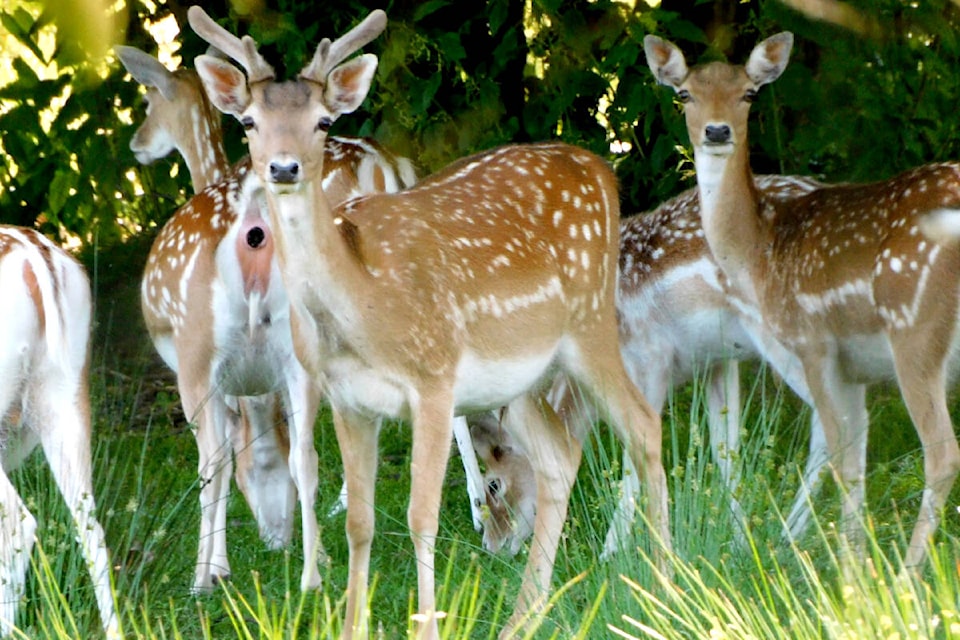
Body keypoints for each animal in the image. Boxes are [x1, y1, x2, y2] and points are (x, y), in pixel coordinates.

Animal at [188, 6, 668, 640]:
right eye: (248, 121)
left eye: (322, 122)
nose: (284, 166)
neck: (366, 308)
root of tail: (602, 170)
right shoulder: (348, 399)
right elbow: (360, 521)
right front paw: (352, 626)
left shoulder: (435, 380)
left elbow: (422, 516)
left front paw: (426, 625)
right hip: (517, 376)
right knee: (560, 457)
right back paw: (523, 615)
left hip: (589, 324)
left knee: (643, 425)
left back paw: (666, 582)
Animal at [472, 176, 832, 560]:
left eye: (493, 485)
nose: (491, 546)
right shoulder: (718, 361)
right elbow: (727, 451)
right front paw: (738, 542)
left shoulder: (649, 362)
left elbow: (637, 458)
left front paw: (609, 554)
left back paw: (793, 536)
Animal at [644, 32, 960, 568]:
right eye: (683, 94)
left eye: (749, 93)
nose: (716, 131)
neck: (761, 251)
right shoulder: (854, 371)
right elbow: (855, 458)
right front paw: (854, 557)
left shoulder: (812, 341)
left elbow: (841, 459)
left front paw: (853, 573)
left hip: (915, 327)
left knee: (942, 454)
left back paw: (907, 573)